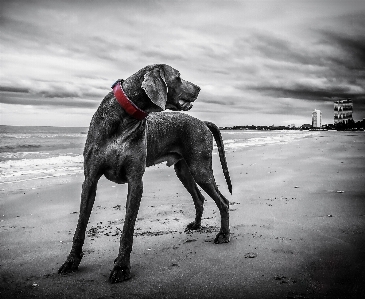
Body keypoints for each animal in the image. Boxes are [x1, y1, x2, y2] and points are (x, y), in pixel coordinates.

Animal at [58, 64, 232, 284]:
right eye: (178, 77)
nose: (199, 88)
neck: (125, 118)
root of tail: (203, 122)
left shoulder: (135, 181)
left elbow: (127, 229)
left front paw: (121, 267)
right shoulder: (90, 179)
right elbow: (81, 225)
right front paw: (71, 261)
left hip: (200, 168)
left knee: (223, 201)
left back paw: (224, 235)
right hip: (184, 170)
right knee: (200, 198)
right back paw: (196, 225)